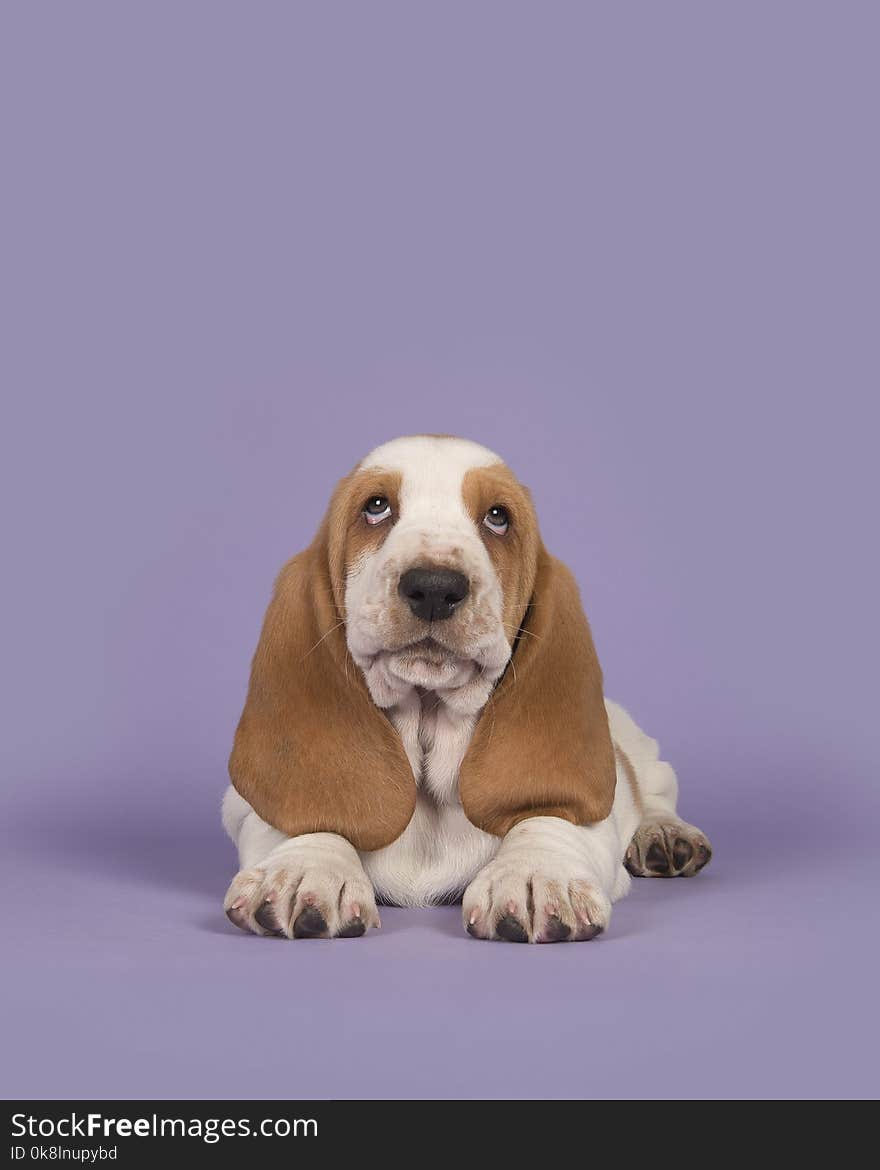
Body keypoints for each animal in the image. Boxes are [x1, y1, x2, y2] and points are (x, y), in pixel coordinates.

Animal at [223, 437, 711, 940]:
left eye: (498, 517)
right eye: (376, 507)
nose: (434, 588)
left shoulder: (587, 809)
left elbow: (548, 814)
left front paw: (536, 875)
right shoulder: (243, 807)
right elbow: (310, 815)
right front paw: (305, 869)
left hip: (636, 746)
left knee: (658, 788)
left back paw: (664, 835)